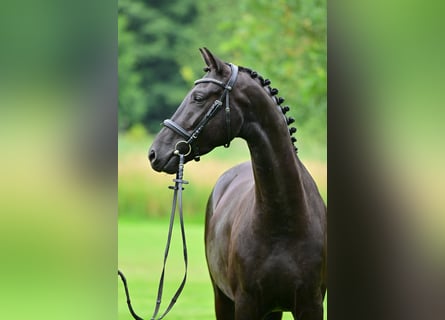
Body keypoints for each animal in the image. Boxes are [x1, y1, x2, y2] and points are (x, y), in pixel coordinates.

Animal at [147, 48, 324, 320]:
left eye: (198, 97)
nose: (155, 153)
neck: (285, 220)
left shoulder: (311, 305)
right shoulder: (246, 303)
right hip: (222, 299)